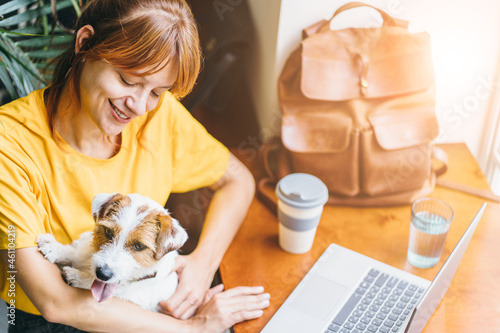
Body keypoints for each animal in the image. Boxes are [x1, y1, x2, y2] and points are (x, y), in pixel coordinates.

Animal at [36, 192, 187, 312]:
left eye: (139, 246)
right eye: (108, 232)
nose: (103, 274)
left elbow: (114, 291)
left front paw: (78, 276)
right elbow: (77, 251)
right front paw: (55, 248)